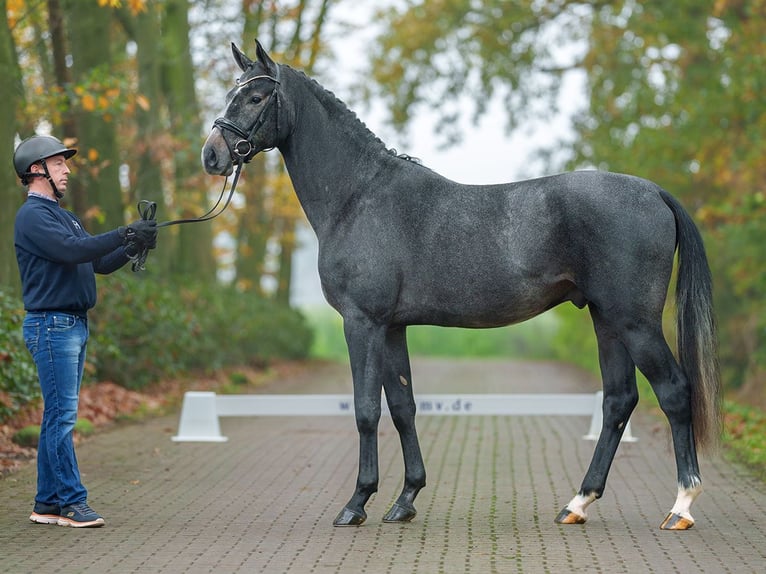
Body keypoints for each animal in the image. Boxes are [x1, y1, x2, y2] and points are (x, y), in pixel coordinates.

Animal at [202, 40, 720, 532]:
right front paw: (405, 500)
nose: (212, 155)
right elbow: (403, 406)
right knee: (618, 400)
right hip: (606, 319)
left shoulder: (362, 323)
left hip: (635, 322)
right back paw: (577, 504)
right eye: (231, 92)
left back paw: (682, 506)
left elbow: (367, 409)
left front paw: (356, 504)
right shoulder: (392, 328)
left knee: (674, 392)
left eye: (255, 96)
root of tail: (654, 193)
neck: (359, 197)